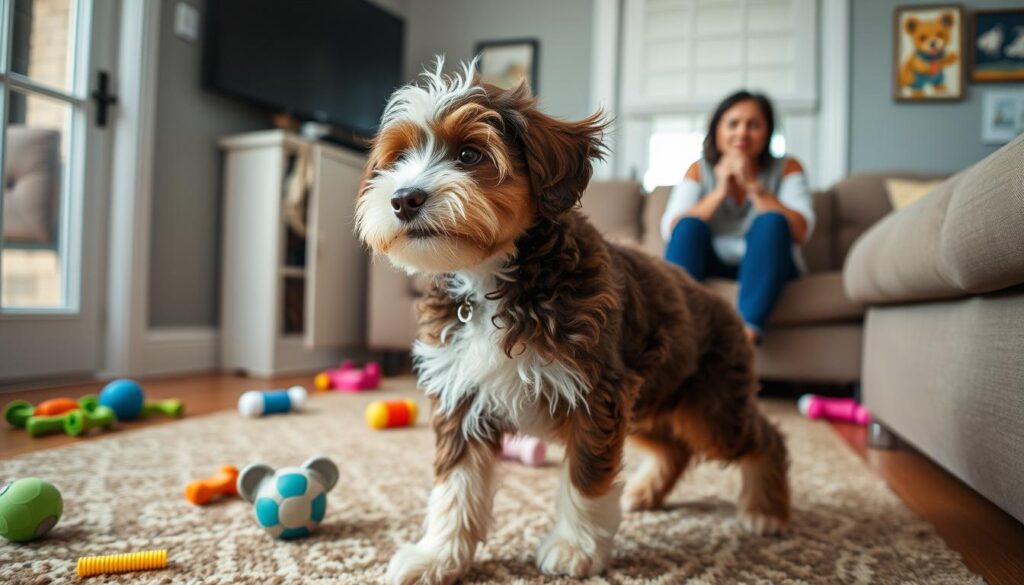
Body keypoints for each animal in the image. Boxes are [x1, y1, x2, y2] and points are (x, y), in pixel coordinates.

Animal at [354, 60, 790, 585]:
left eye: (470, 154)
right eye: (398, 158)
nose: (403, 198)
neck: (493, 278)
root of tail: (725, 307)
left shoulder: (596, 394)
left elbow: (585, 479)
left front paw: (574, 548)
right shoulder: (461, 396)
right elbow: (455, 484)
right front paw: (439, 556)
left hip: (712, 408)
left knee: (766, 438)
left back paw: (766, 510)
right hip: (649, 402)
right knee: (675, 449)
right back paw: (647, 491)